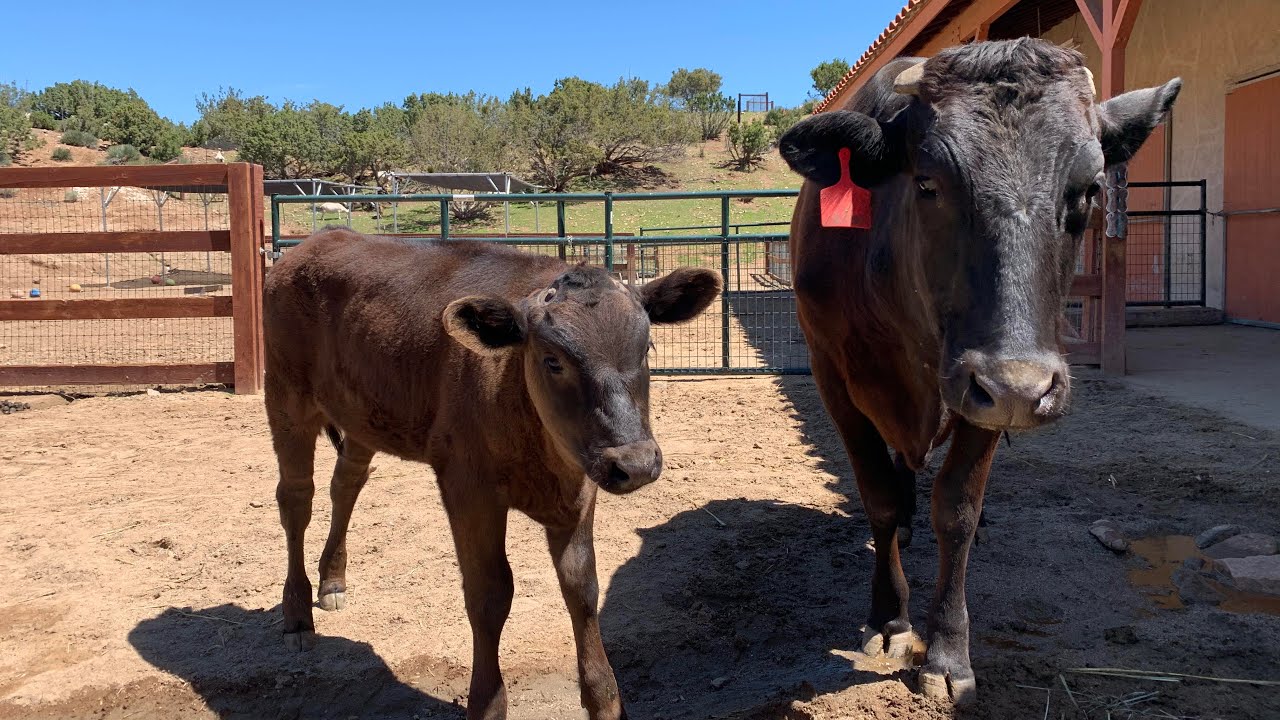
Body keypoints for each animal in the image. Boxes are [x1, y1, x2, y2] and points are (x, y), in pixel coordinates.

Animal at [262, 228, 721, 717]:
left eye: (647, 348)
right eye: (553, 361)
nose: (634, 464)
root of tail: (316, 241)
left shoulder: (582, 486)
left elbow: (582, 587)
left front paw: (604, 697)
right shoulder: (468, 487)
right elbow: (489, 594)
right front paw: (486, 700)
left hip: (362, 415)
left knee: (345, 484)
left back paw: (332, 580)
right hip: (287, 398)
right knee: (296, 498)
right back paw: (297, 615)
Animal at [773, 39, 1182, 702]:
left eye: (1090, 189)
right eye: (927, 182)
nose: (1021, 385)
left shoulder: (985, 395)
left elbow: (957, 511)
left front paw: (946, 653)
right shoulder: (833, 373)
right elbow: (878, 494)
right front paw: (890, 618)